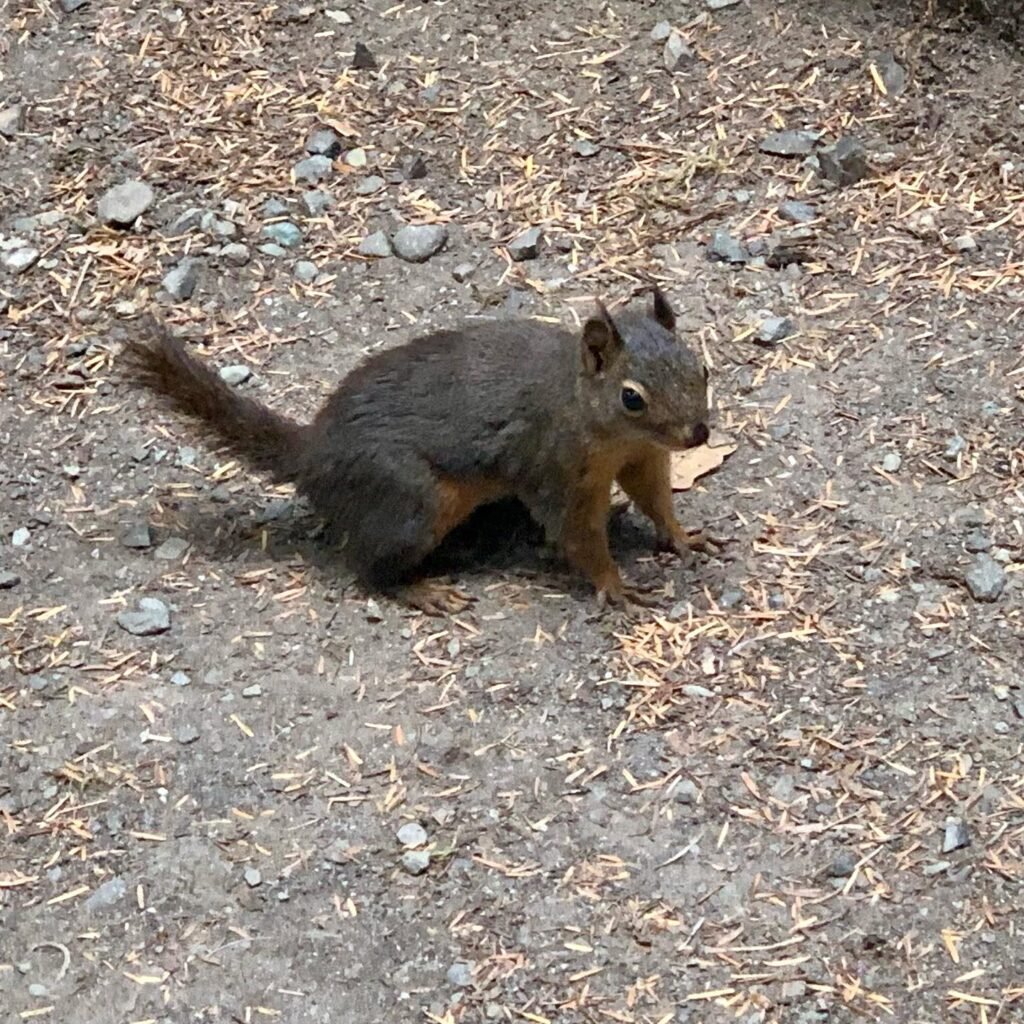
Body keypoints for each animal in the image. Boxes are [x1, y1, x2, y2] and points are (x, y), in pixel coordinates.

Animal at [121, 287, 713, 615]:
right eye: (631, 397)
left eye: (701, 367)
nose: (699, 435)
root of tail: (313, 455)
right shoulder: (554, 468)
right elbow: (576, 535)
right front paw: (614, 585)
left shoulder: (641, 458)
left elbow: (654, 496)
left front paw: (683, 537)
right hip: (414, 501)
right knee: (366, 567)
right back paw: (422, 590)